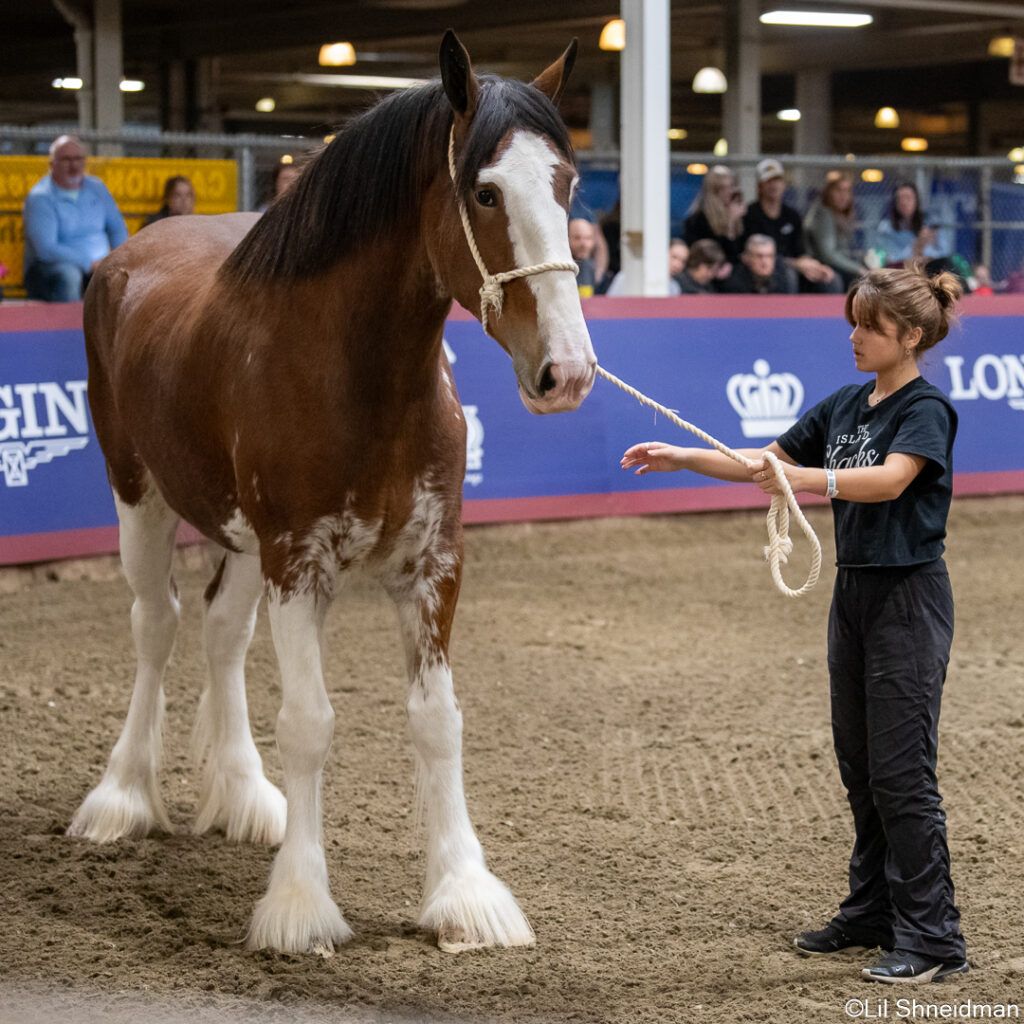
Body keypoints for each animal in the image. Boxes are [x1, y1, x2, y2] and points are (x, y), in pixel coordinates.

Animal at [68, 34, 598, 958]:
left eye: (565, 182)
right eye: (486, 191)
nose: (565, 370)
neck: (358, 378)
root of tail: (127, 258)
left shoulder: (432, 565)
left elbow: (438, 719)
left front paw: (464, 894)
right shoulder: (299, 563)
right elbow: (311, 724)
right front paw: (299, 905)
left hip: (242, 536)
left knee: (219, 630)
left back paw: (247, 797)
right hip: (141, 495)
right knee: (156, 624)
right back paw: (122, 796)